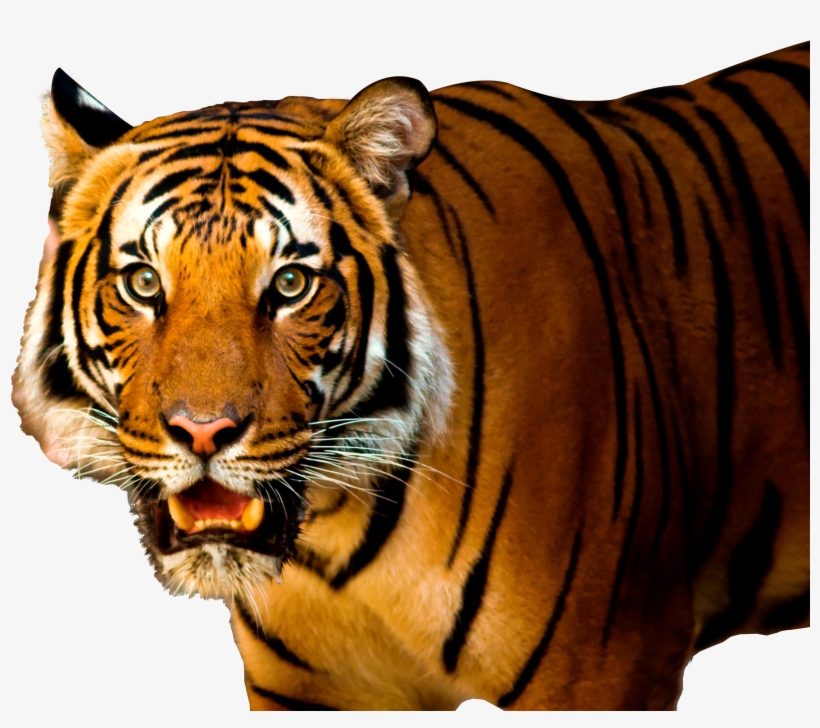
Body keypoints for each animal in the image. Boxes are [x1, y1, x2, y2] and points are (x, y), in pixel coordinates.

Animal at [13, 41, 809, 710]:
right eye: (144, 283)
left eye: (291, 284)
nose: (203, 433)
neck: (336, 535)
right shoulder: (306, 692)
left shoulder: (606, 669)